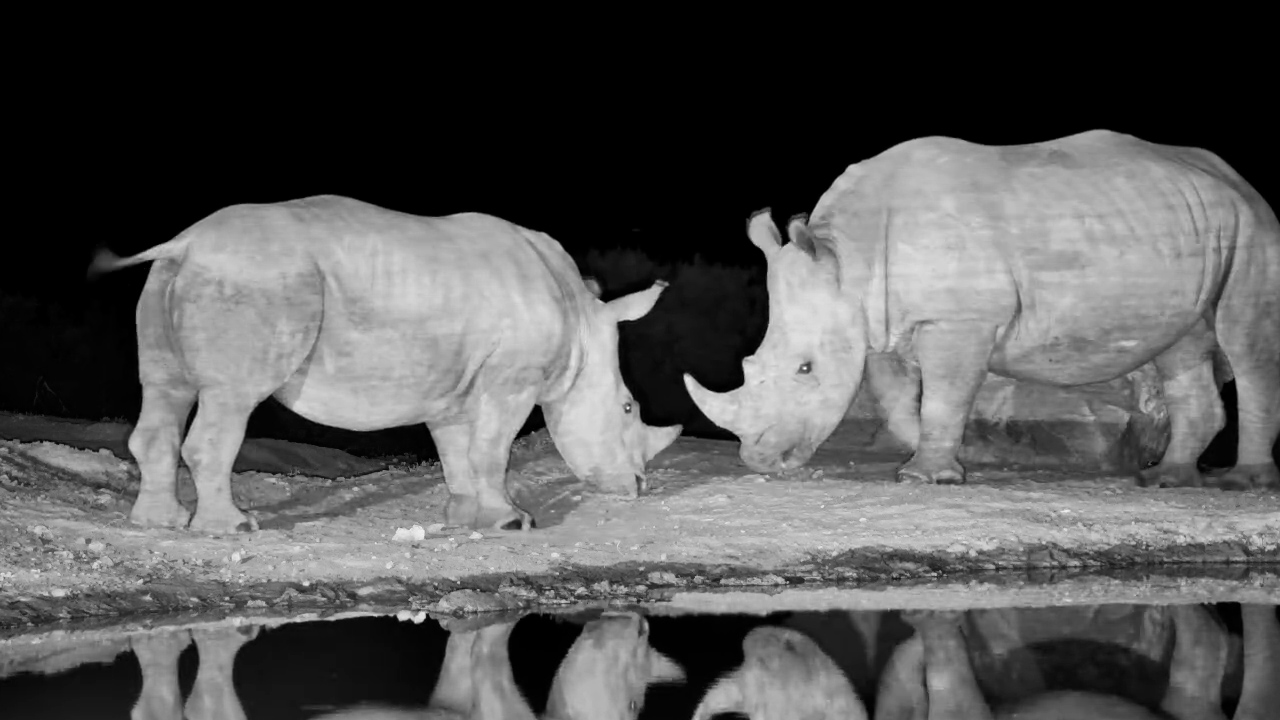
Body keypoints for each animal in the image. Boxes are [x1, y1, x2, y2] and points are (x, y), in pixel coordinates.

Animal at [89, 195, 682, 534]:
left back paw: (159, 524)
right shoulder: (513, 378)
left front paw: (464, 520)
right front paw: (515, 522)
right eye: (628, 408)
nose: (640, 485)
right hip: (257, 277)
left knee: (165, 387)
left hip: (173, 282)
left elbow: (458, 452)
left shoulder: (456, 385)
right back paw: (232, 529)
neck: (580, 322)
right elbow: (492, 451)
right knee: (232, 397)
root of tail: (185, 241)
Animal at [684, 129, 1280, 489]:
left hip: (1252, 226)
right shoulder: (880, 323)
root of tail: (1236, 179)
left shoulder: (959, 321)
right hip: (1188, 224)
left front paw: (928, 476)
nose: (759, 461)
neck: (846, 254)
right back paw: (1167, 479)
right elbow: (899, 402)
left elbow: (942, 396)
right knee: (1183, 344)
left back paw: (1244, 482)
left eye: (805, 369)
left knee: (1245, 343)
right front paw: (948, 461)